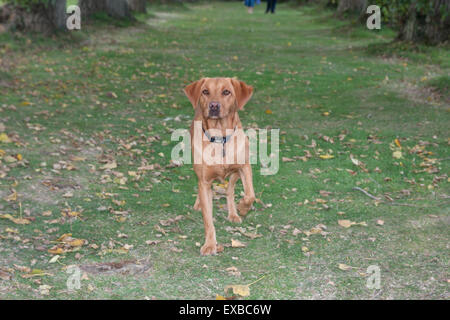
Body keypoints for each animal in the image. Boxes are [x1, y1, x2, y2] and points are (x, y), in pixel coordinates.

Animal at [182, 77, 253, 255]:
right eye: (205, 91)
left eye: (226, 91)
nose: (214, 106)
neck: (220, 137)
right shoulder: (204, 181)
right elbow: (208, 219)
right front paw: (210, 245)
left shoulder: (245, 167)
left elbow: (250, 195)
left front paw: (242, 208)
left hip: (235, 172)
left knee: (230, 189)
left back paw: (234, 213)